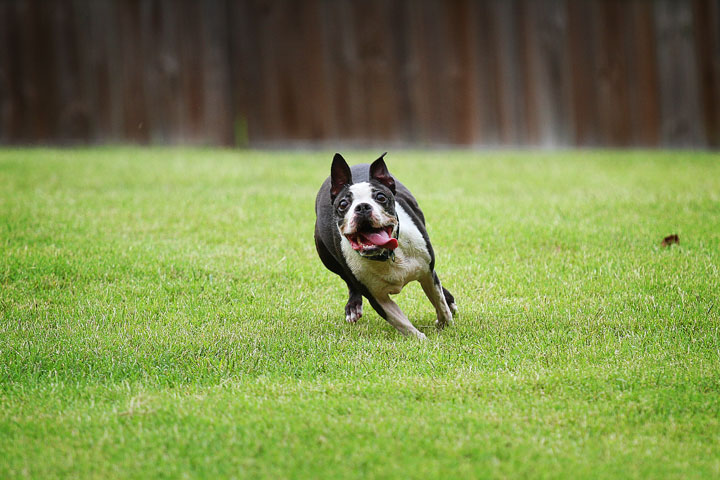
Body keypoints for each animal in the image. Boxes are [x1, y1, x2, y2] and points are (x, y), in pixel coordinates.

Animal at [314, 152, 456, 340]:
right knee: (347, 280)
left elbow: (439, 302)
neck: (387, 255)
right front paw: (421, 340)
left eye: (381, 197)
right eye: (343, 204)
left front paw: (445, 324)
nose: (362, 207)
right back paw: (353, 306)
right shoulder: (377, 298)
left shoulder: (427, 272)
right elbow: (402, 322)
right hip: (325, 255)